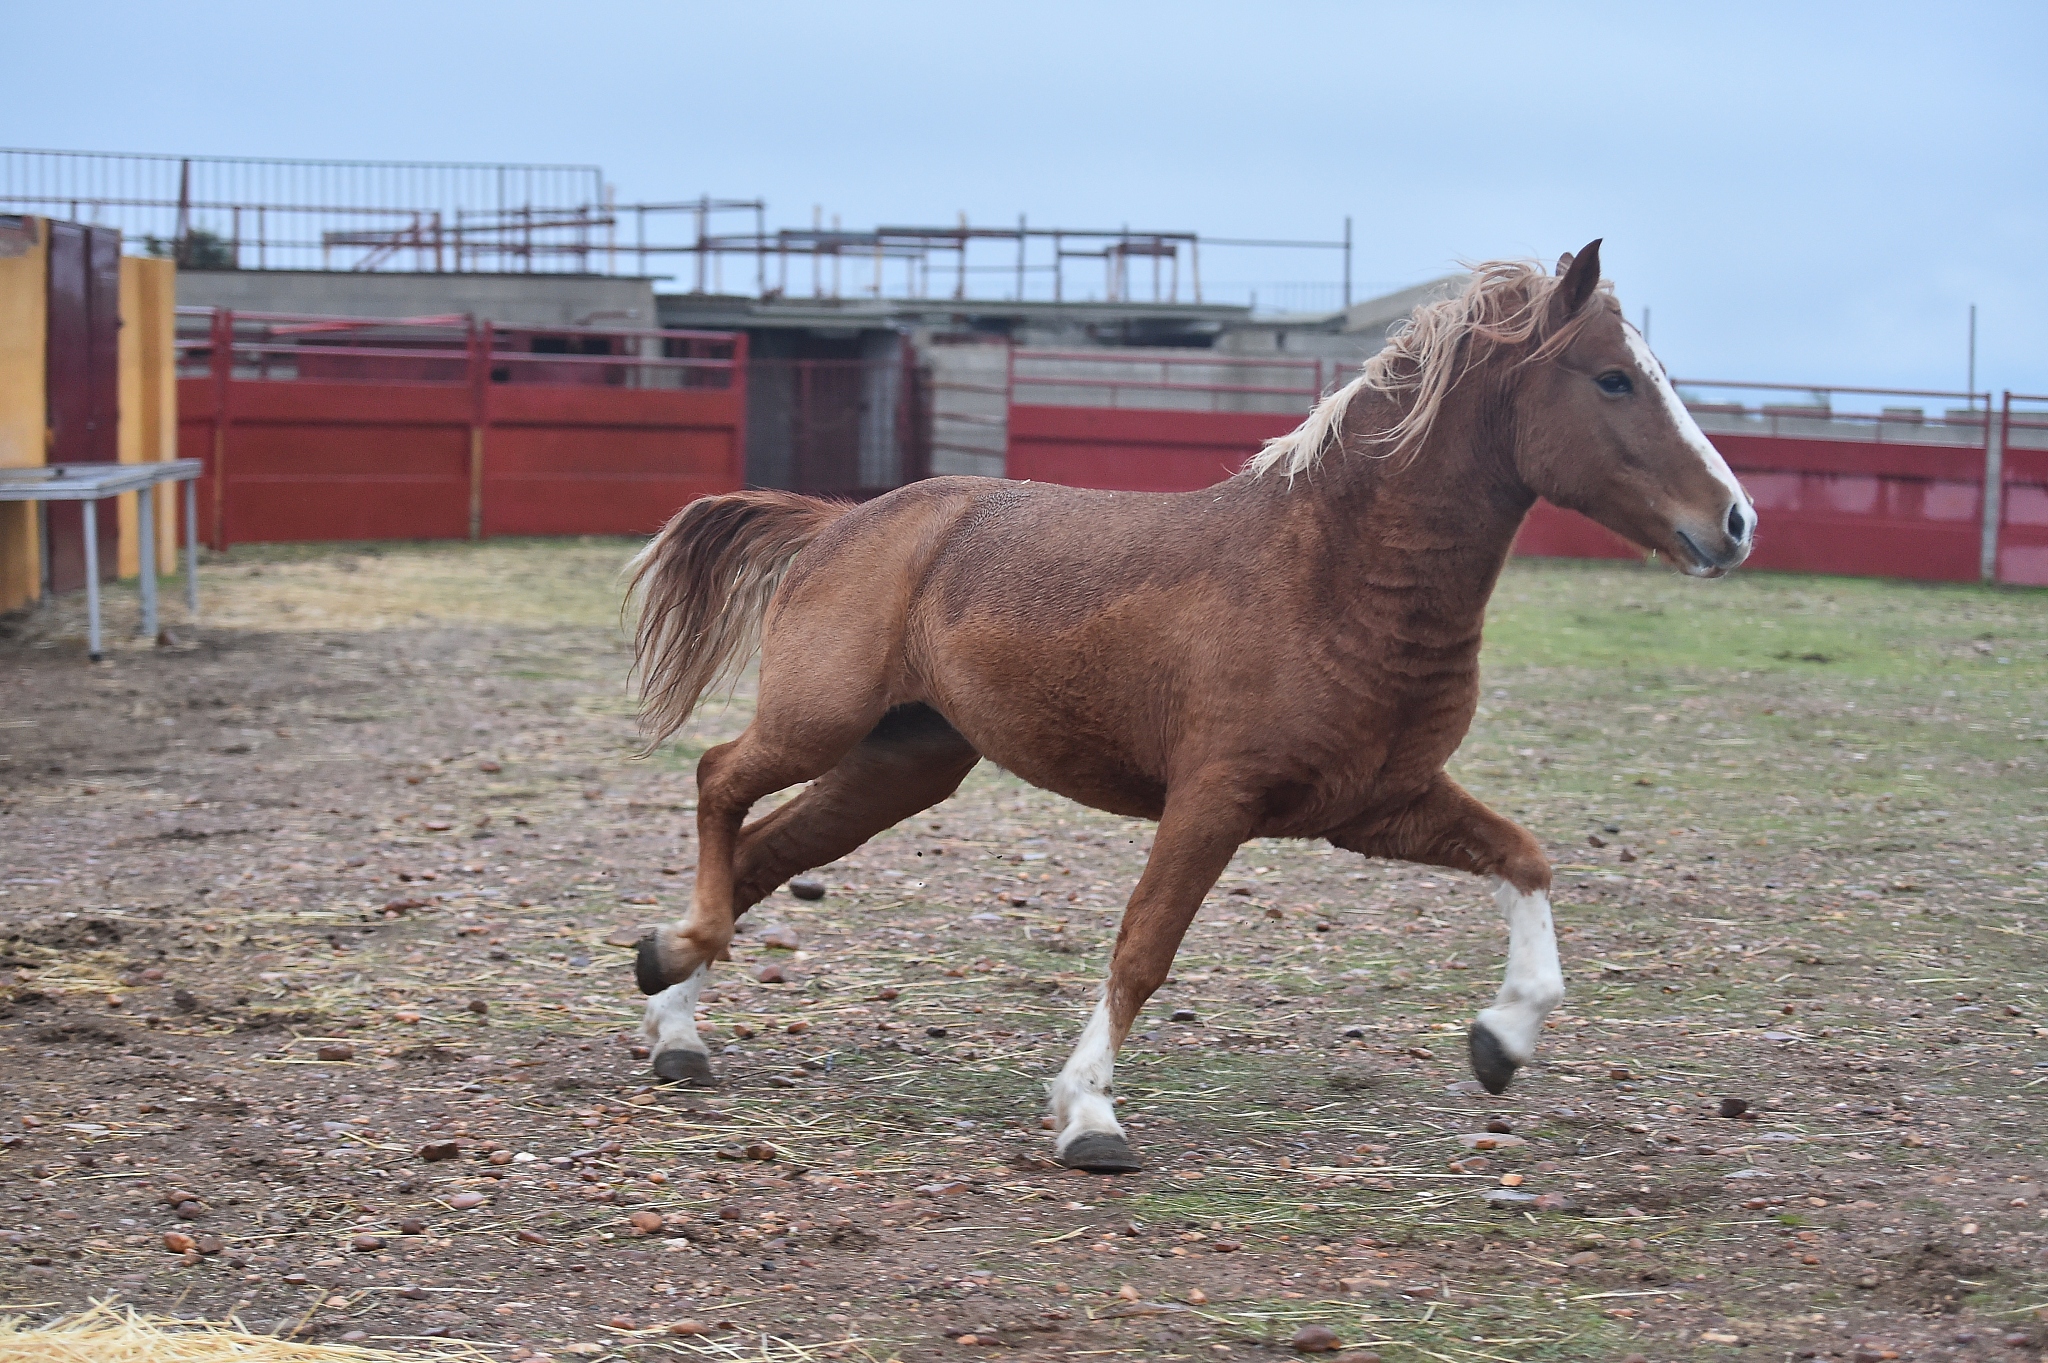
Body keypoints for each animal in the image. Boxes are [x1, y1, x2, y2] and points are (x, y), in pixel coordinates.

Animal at [626, 240, 1754, 1172]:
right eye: (1611, 376)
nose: (1736, 521)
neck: (1330, 579)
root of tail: (838, 521)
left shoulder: (1375, 804)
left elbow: (1525, 858)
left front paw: (1501, 1039)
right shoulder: (1214, 799)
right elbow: (1142, 950)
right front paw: (1088, 1115)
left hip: (901, 763)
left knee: (765, 851)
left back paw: (678, 1024)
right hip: (820, 724)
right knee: (719, 780)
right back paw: (674, 962)